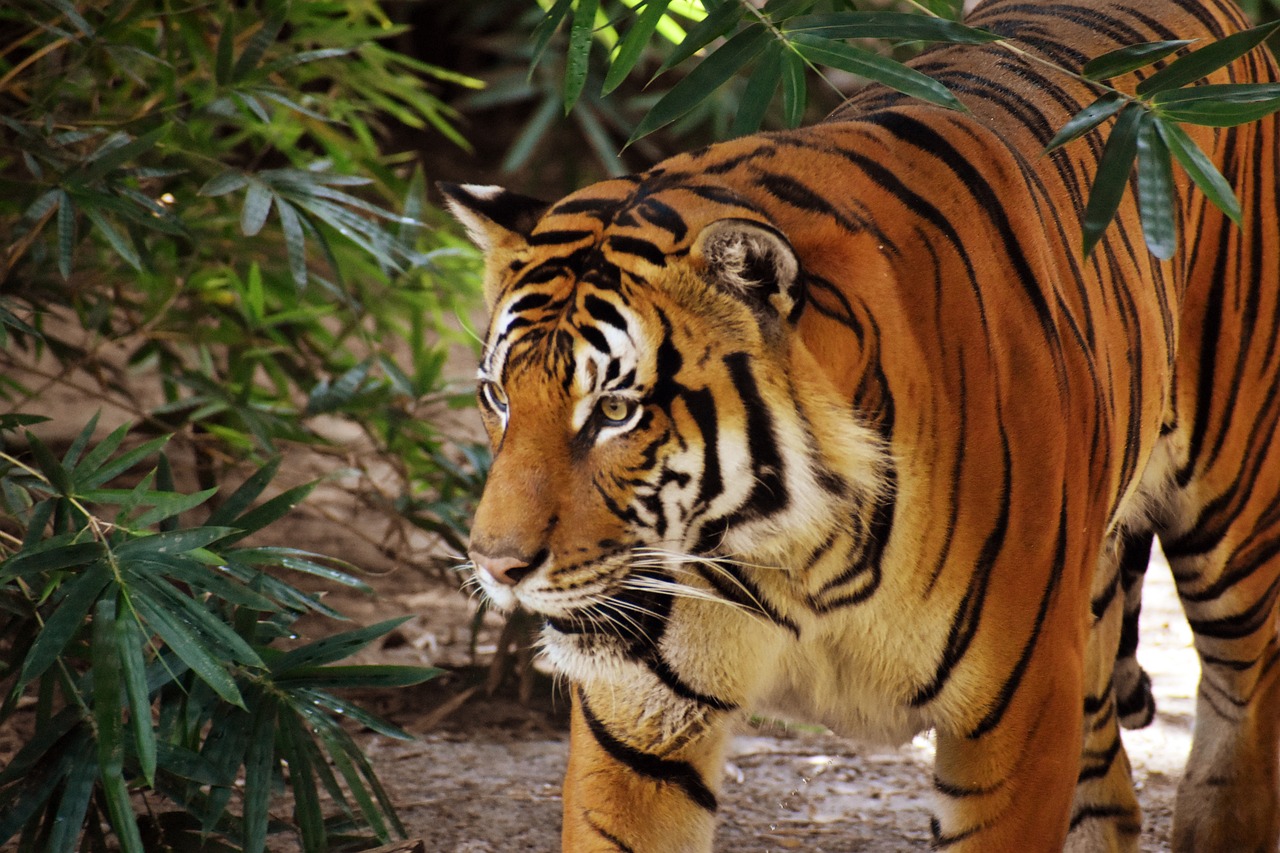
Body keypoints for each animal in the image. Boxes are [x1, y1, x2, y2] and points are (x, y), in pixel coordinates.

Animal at [442, 0, 1280, 845]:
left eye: (615, 410)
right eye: (498, 397)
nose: (496, 565)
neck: (790, 554)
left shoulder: (1018, 718)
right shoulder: (640, 723)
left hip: (1235, 529)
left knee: (1240, 712)